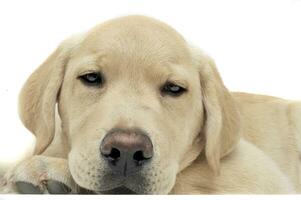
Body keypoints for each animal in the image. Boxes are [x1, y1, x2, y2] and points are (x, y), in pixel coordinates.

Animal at [1, 15, 300, 194]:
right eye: (91, 78)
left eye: (174, 89)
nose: (126, 150)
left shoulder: (259, 176)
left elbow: (180, 182)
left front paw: (53, 171)